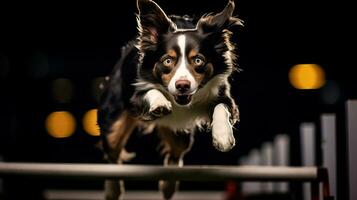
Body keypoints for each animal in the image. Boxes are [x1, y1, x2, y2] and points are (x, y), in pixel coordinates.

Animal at [96, 0, 242, 198]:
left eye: (198, 60)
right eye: (167, 61)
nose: (182, 85)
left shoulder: (222, 93)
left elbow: (222, 107)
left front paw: (223, 136)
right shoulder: (134, 95)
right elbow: (149, 92)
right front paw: (159, 102)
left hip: (179, 133)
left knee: (175, 154)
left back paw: (169, 186)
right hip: (115, 121)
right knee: (112, 152)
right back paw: (113, 189)